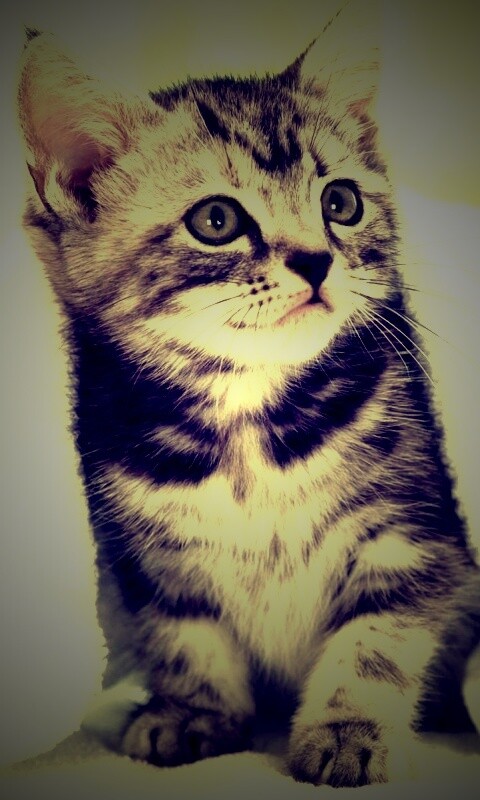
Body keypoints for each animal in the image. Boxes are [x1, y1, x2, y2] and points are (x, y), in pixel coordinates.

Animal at [17, 6, 479, 787]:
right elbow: (184, 635)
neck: (248, 413)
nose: (317, 260)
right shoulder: (148, 554)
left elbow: (378, 636)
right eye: (217, 221)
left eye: (340, 203)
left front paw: (347, 728)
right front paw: (194, 714)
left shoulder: (411, 526)